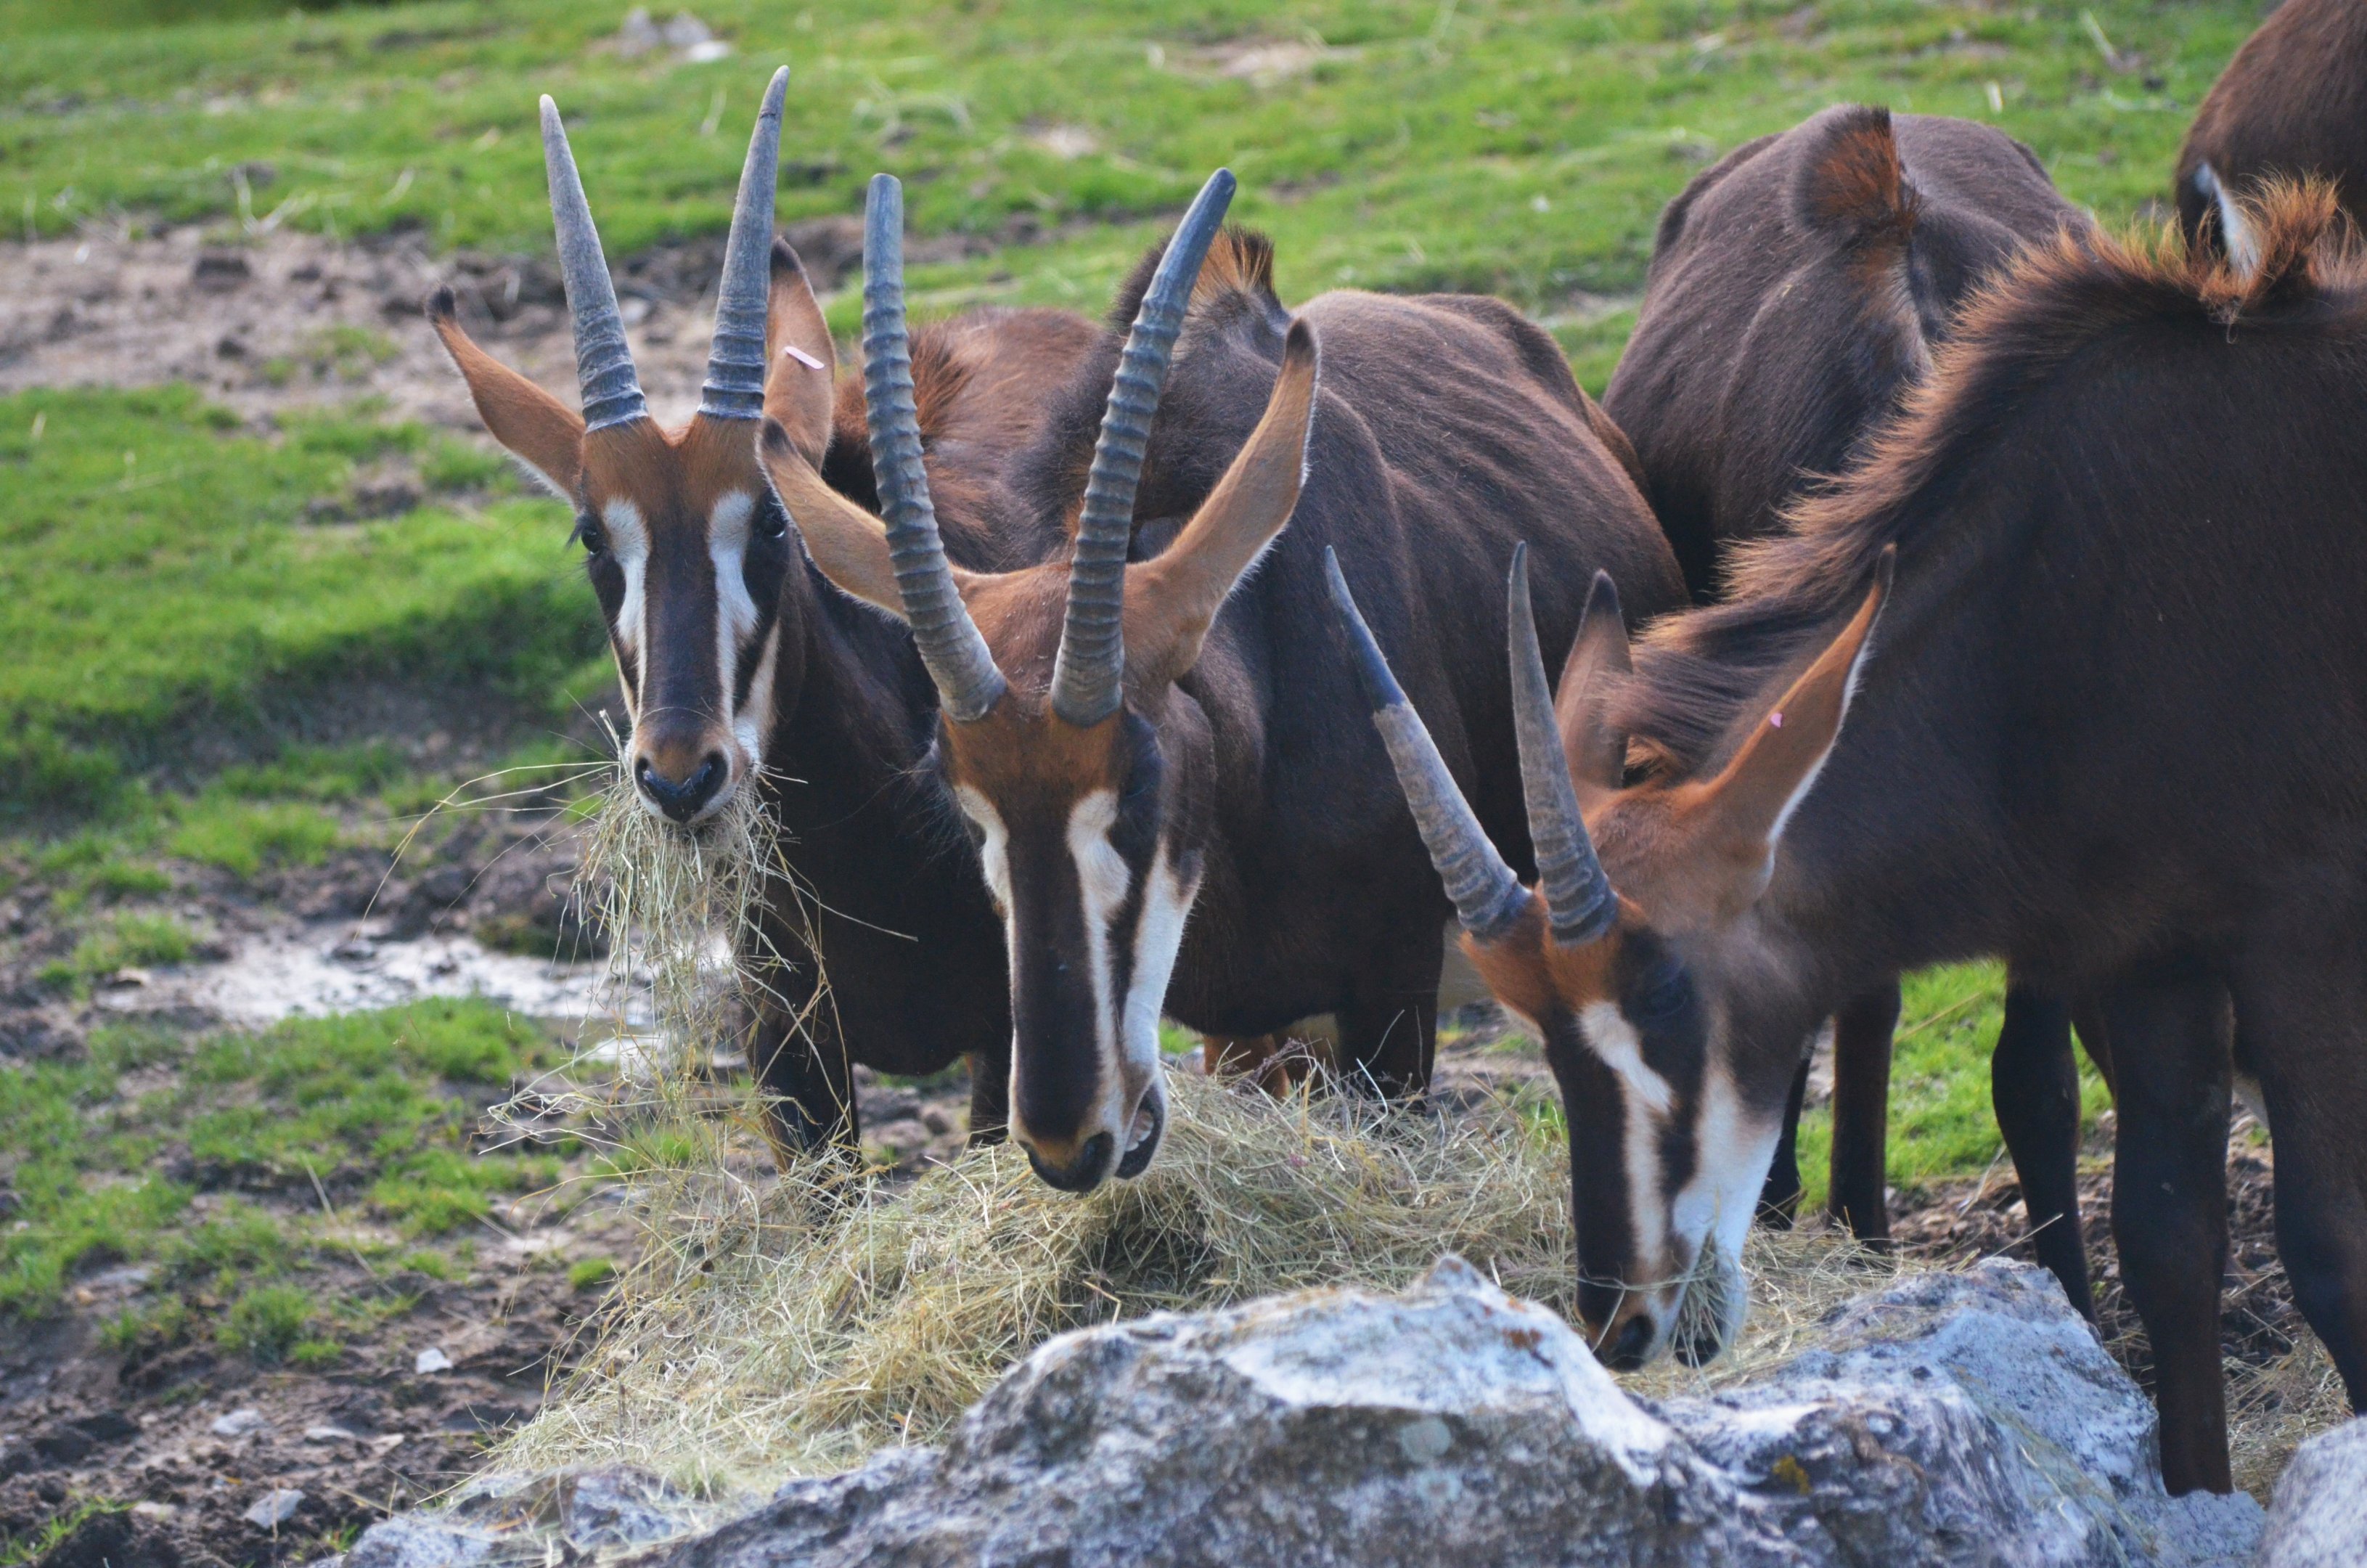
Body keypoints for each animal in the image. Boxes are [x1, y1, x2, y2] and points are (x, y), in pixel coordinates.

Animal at [427, 71, 1104, 1152]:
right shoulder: (789, 1054)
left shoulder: (1008, 1050)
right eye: (592, 538)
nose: (679, 776)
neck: (869, 859)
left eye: (776, 524)